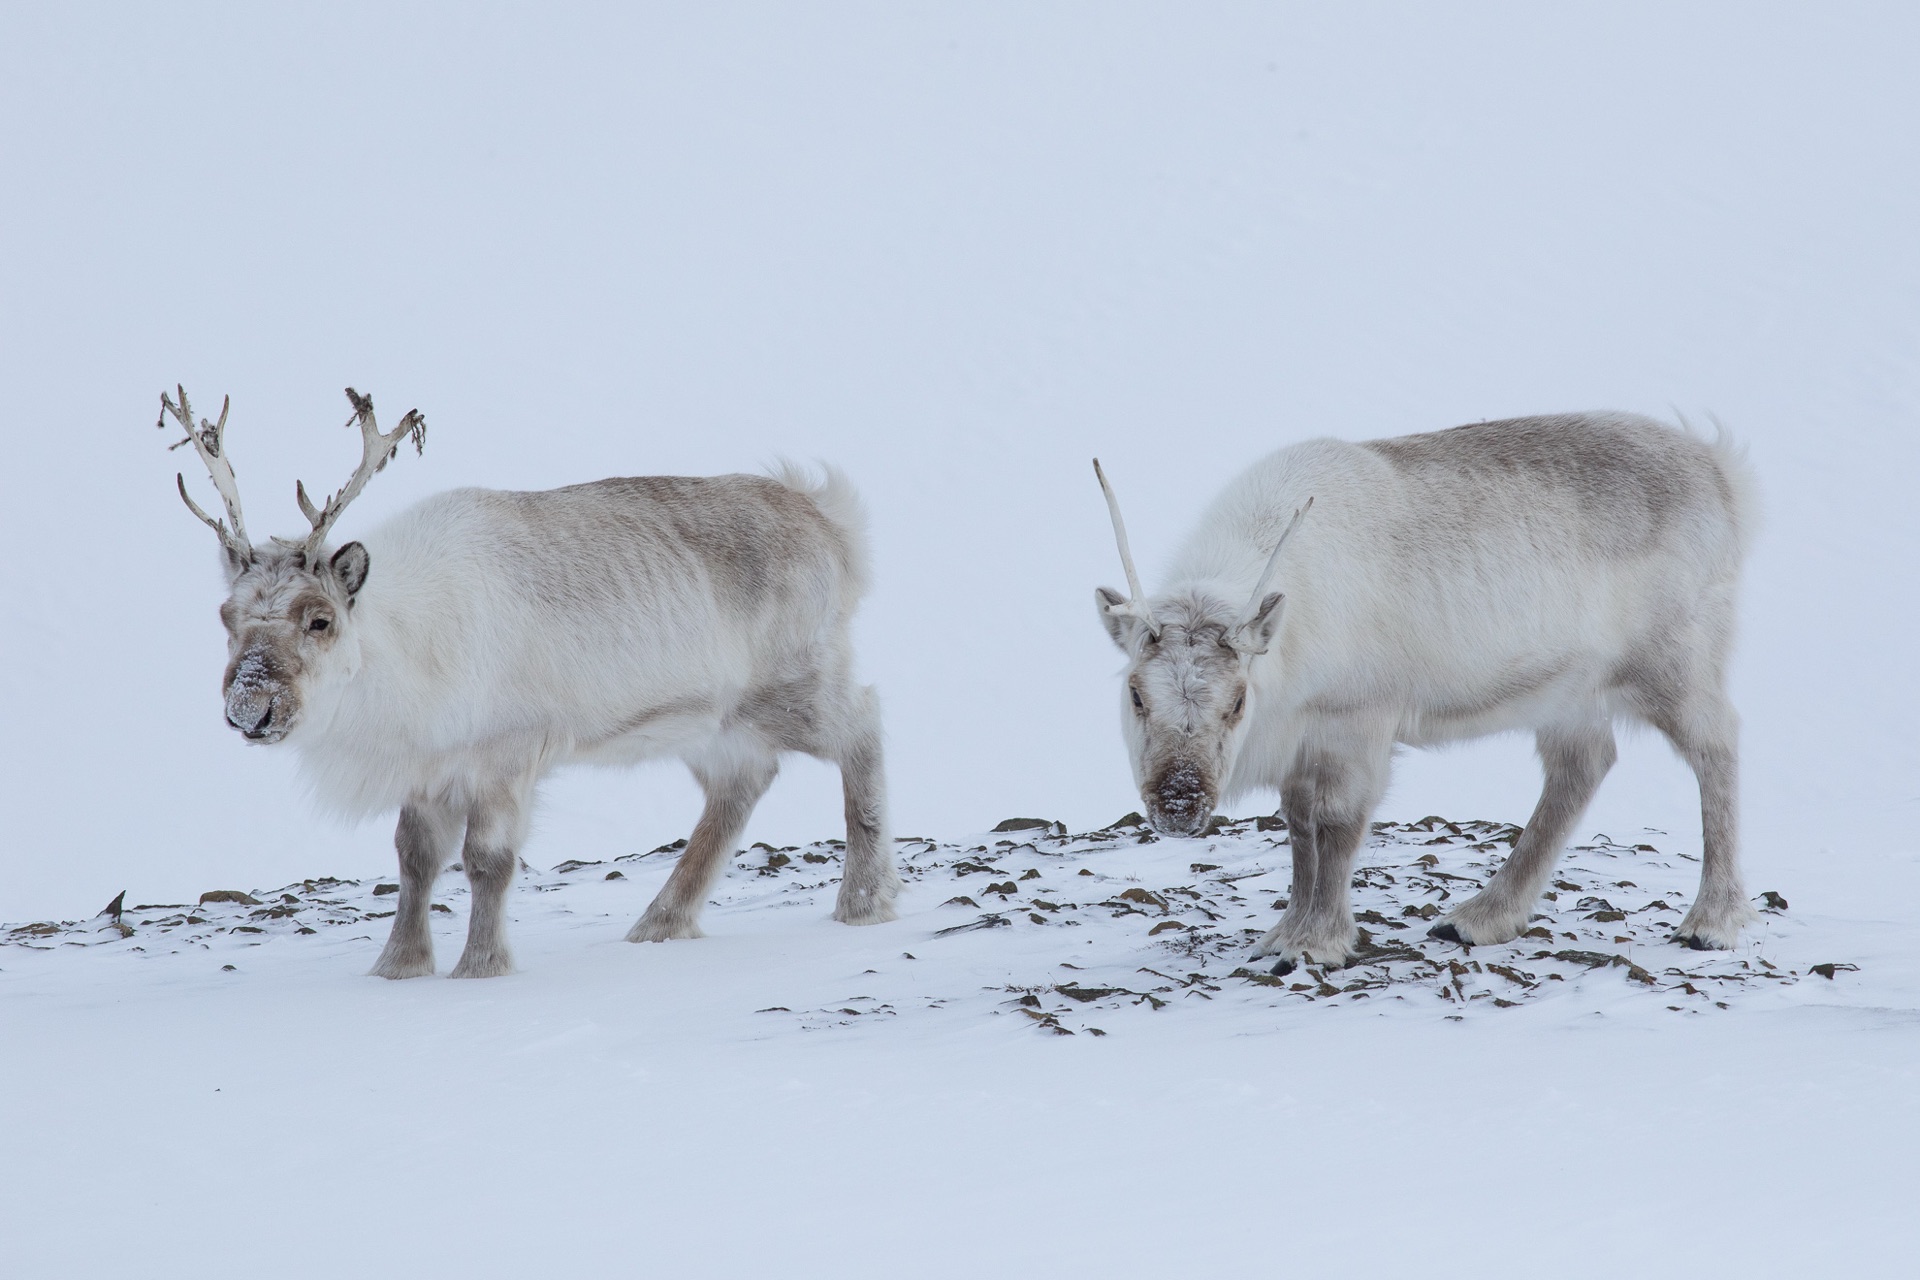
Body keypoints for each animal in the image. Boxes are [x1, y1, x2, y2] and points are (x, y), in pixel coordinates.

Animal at [161, 385, 898, 978]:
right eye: (226, 617)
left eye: (319, 619)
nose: (250, 709)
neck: (396, 650)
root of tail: (830, 523)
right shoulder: (427, 771)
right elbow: (413, 859)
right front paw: (397, 967)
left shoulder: (506, 753)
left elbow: (487, 861)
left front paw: (482, 967)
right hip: (712, 724)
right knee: (742, 785)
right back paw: (658, 924)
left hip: (793, 684)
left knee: (863, 725)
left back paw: (864, 902)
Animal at [1092, 413, 1757, 975]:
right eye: (1136, 694)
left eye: (1236, 702)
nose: (1180, 801)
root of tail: (1723, 472)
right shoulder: (1304, 740)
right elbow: (1299, 829)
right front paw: (1282, 933)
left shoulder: (1359, 722)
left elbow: (1334, 825)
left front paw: (1316, 943)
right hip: (1567, 691)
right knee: (1583, 765)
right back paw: (1479, 918)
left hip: (1674, 660)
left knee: (1717, 745)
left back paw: (1711, 922)